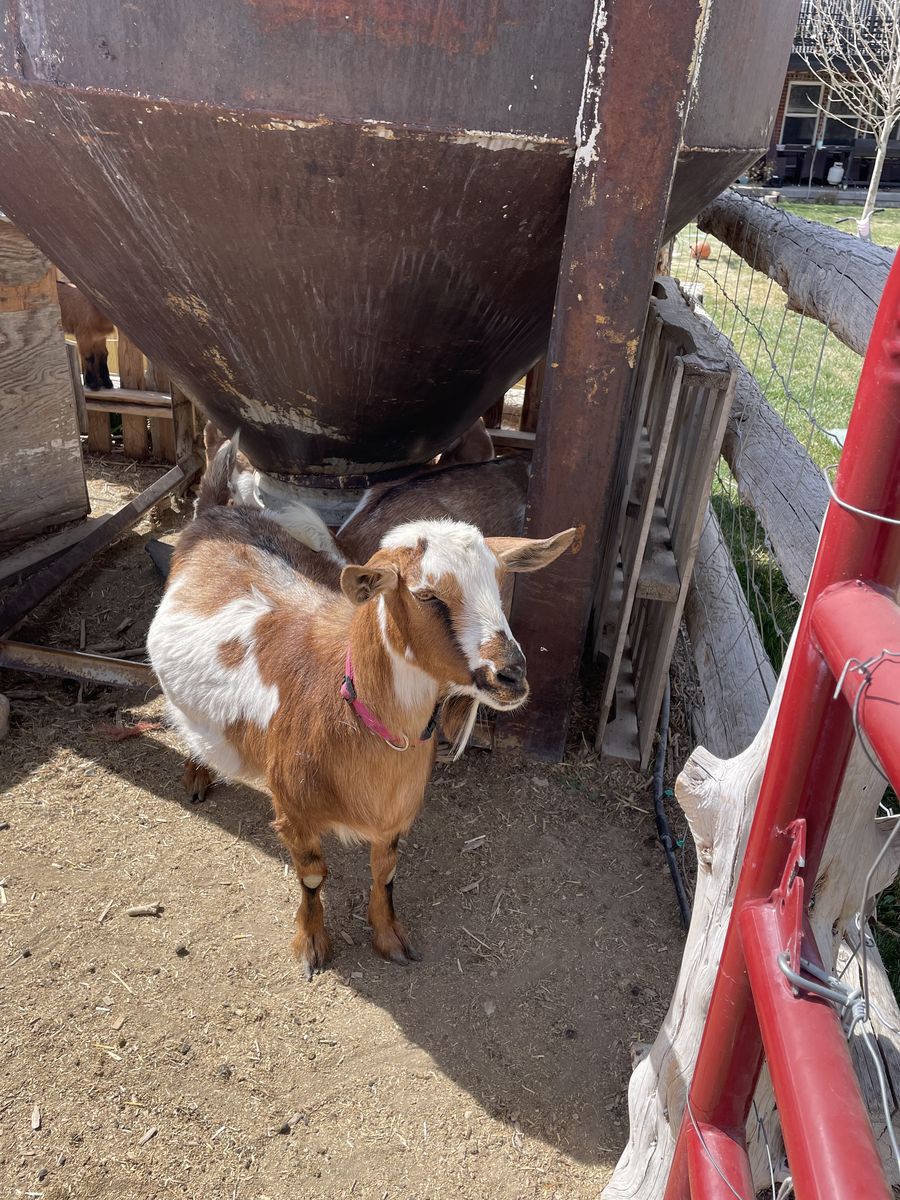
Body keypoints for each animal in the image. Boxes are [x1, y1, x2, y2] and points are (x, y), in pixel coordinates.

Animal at [147, 453, 574, 977]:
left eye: (499, 584)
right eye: (427, 595)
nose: (511, 675)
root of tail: (215, 510)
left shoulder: (395, 817)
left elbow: (384, 872)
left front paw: (389, 937)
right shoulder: (292, 811)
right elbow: (313, 876)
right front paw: (311, 945)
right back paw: (197, 773)